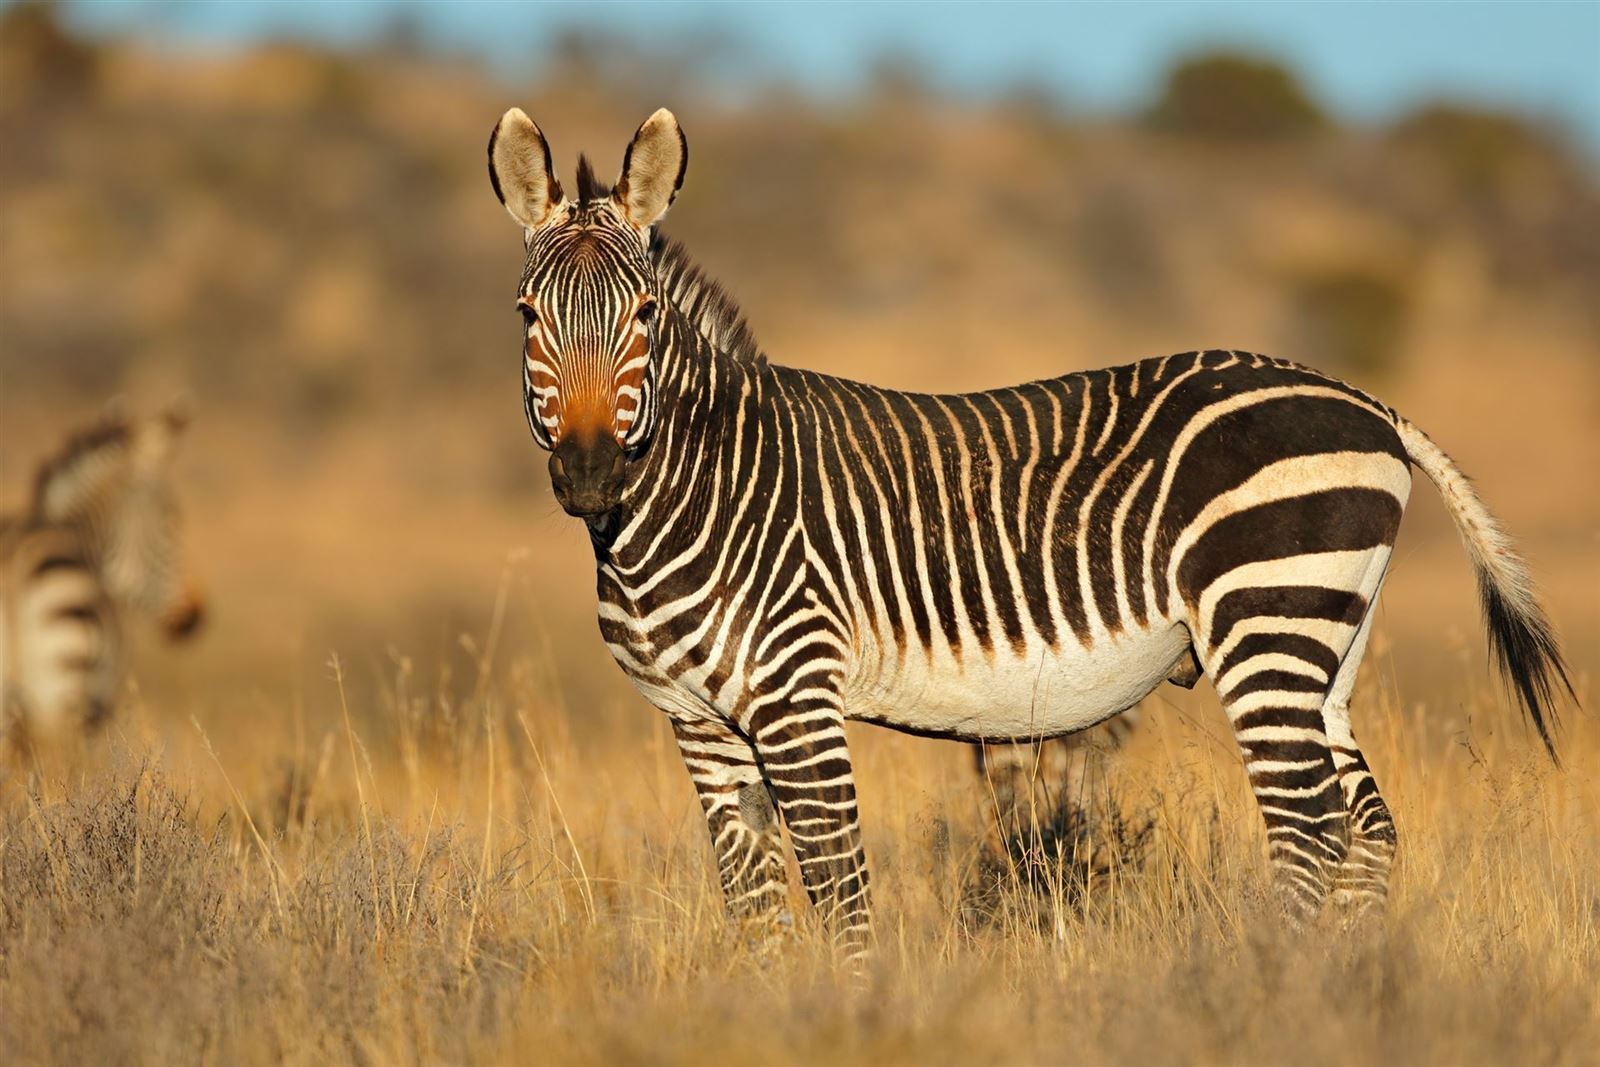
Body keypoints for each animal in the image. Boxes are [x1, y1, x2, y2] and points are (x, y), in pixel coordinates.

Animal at [480, 112, 1568, 966]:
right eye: (528, 314)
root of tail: (1368, 403)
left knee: (1309, 829)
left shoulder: (798, 694)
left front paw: (847, 1012)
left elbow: (837, 892)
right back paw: (1341, 990)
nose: (589, 474)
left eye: (643, 315)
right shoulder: (698, 723)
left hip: (1267, 619)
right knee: (1368, 829)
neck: (693, 490)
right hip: (1325, 646)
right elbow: (755, 912)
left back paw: (1274, 986)